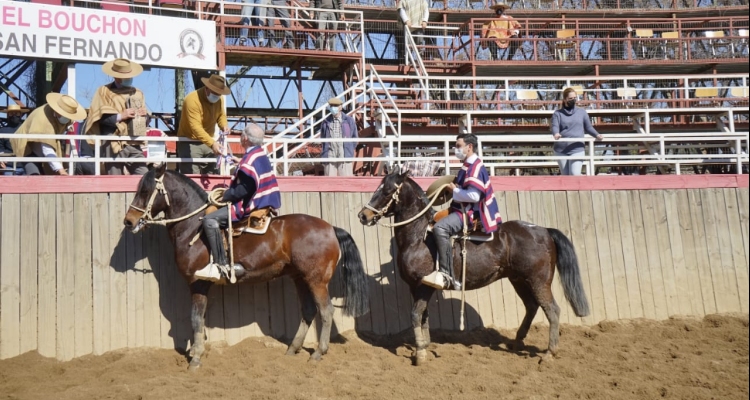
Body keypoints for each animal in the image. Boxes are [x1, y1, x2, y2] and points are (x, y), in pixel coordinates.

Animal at [125, 164, 372, 370]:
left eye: (145, 191)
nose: (128, 221)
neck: (193, 229)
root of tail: (331, 228)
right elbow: (199, 318)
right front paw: (197, 351)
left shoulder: (198, 283)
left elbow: (196, 318)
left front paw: (195, 357)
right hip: (300, 278)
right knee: (309, 311)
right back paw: (293, 349)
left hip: (317, 280)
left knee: (326, 311)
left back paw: (319, 352)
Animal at [360, 171, 592, 366]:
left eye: (387, 190)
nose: (363, 215)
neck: (419, 236)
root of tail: (544, 231)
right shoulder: (415, 287)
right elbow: (423, 316)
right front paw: (424, 345)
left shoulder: (425, 286)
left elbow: (416, 314)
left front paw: (421, 355)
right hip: (519, 280)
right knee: (532, 307)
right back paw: (516, 342)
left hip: (539, 281)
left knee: (552, 310)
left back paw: (549, 353)